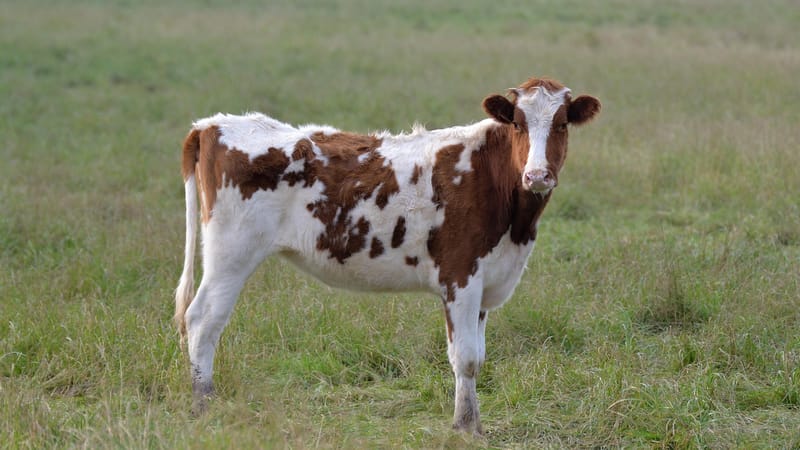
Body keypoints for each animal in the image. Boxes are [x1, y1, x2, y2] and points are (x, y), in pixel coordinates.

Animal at [175, 76, 600, 434]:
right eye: (518, 125)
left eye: (562, 124)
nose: (537, 175)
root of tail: (212, 124)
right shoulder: (459, 276)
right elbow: (464, 357)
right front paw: (463, 427)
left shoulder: (488, 282)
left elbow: (478, 355)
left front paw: (475, 424)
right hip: (231, 253)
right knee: (202, 320)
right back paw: (203, 404)